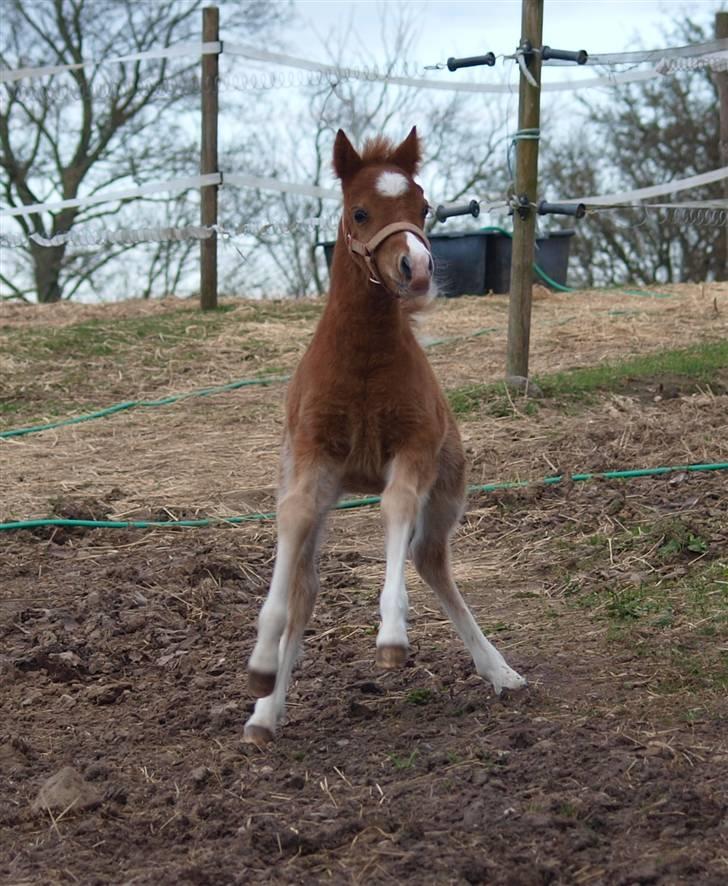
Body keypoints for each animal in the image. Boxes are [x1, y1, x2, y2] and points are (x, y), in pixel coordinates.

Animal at [243, 126, 524, 748]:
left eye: (424, 207)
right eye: (360, 211)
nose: (415, 267)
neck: (366, 360)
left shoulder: (413, 448)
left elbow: (396, 506)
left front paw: (392, 635)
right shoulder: (311, 458)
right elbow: (292, 523)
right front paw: (261, 671)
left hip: (446, 492)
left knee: (430, 560)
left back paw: (499, 669)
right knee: (306, 586)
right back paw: (266, 713)